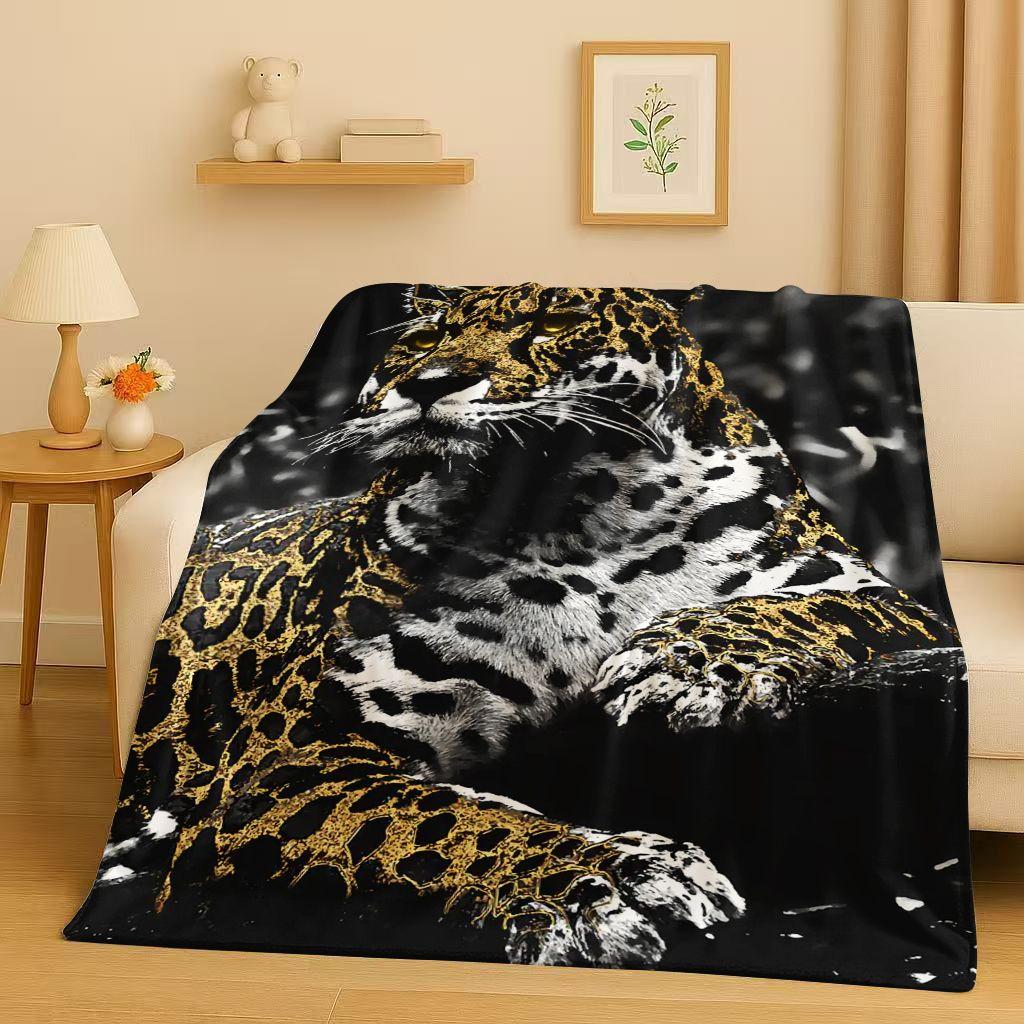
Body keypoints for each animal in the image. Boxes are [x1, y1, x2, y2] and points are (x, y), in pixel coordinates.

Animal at [86, 283, 958, 968]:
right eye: (425, 339)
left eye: (555, 321)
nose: (430, 382)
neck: (582, 514)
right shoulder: (288, 758)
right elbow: (451, 818)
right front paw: (606, 879)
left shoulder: (878, 596)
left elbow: (784, 608)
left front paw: (679, 666)